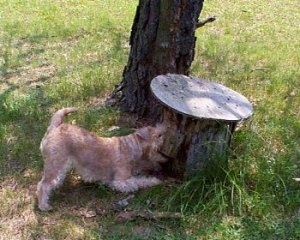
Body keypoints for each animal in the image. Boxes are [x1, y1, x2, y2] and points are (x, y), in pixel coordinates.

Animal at [36, 108, 168, 211]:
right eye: (158, 135)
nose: (165, 131)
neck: (131, 146)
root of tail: (55, 126)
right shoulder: (120, 181)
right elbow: (139, 181)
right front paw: (155, 181)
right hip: (56, 165)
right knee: (43, 185)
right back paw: (44, 206)